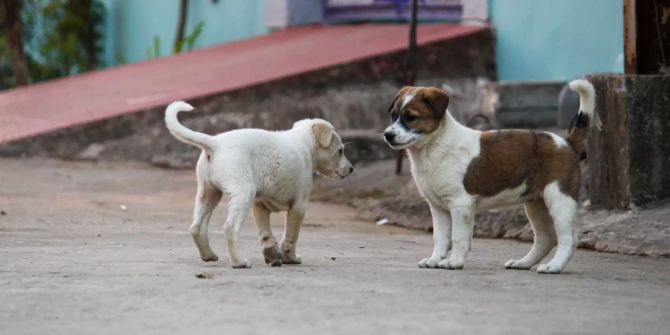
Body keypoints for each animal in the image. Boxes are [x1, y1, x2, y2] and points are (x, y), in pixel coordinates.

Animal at [165, 101, 354, 270]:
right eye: (340, 151)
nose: (352, 169)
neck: (304, 144)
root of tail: (216, 144)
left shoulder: (260, 204)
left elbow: (265, 233)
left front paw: (271, 253)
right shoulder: (299, 206)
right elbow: (291, 236)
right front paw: (291, 258)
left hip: (209, 193)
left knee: (197, 227)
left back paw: (209, 255)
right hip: (243, 193)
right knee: (230, 227)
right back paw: (239, 262)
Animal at [384, 80, 600, 274]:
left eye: (411, 117)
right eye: (393, 115)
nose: (387, 135)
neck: (433, 147)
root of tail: (566, 142)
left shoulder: (460, 204)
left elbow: (458, 237)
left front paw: (453, 262)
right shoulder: (438, 207)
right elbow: (440, 237)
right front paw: (435, 259)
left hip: (559, 199)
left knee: (568, 239)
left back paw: (553, 266)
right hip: (535, 204)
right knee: (545, 238)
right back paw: (523, 263)